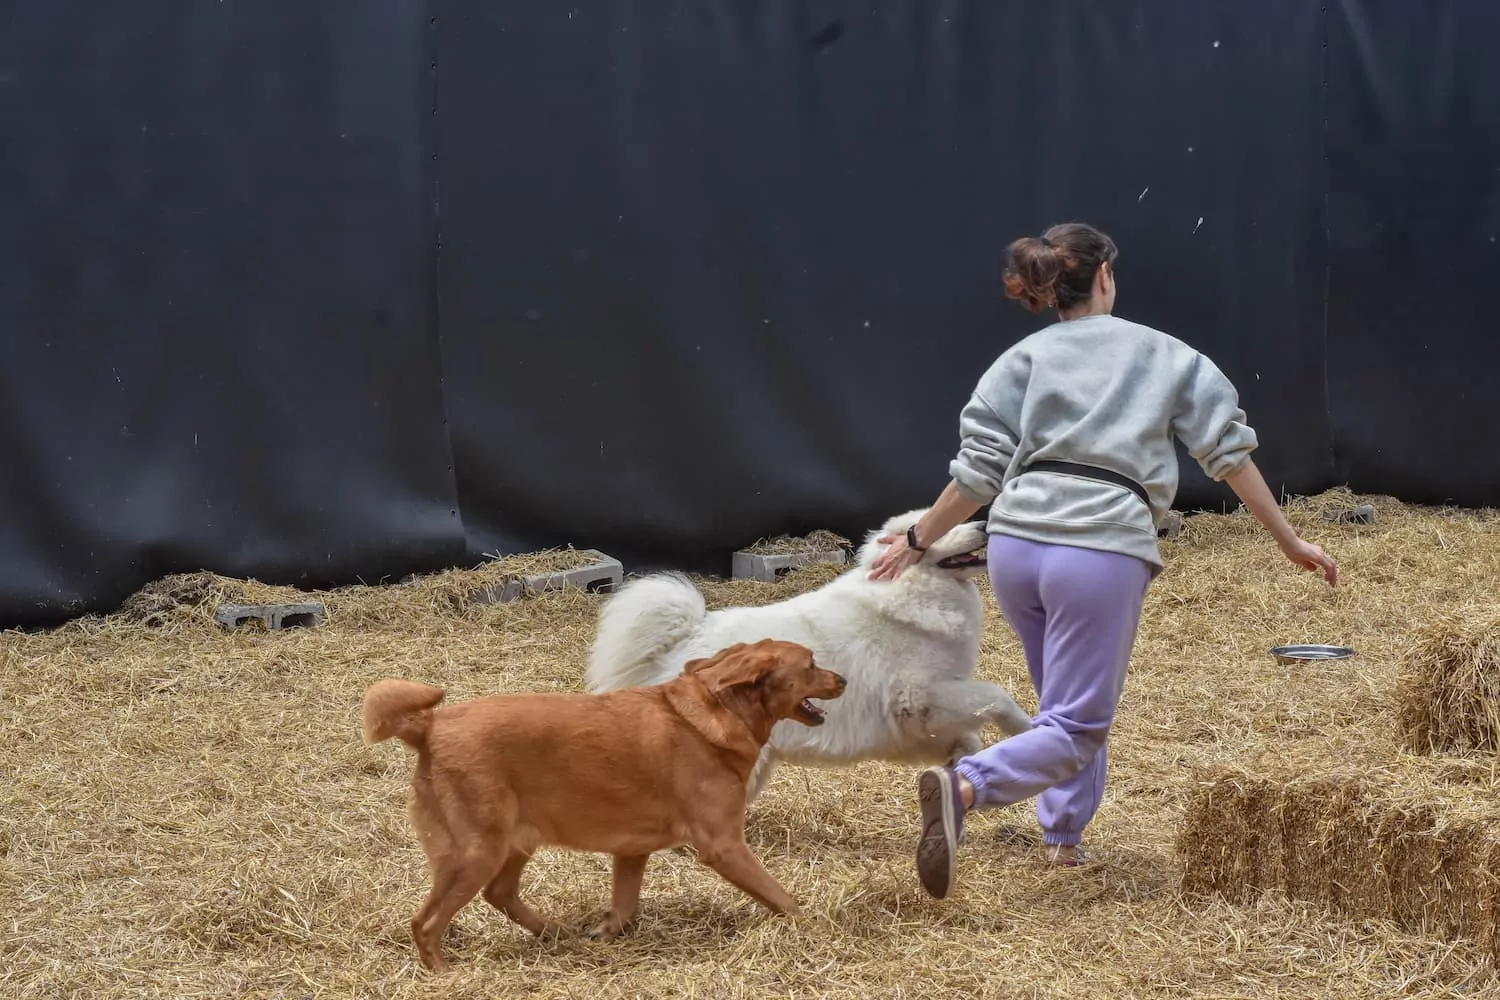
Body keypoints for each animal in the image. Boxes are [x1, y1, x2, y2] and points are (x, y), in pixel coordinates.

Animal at [357, 638, 840, 971]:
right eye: (812, 664)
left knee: (500, 894)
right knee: (426, 922)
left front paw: (605, 932)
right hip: (476, 853)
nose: (844, 680)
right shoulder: (724, 846)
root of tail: (428, 726)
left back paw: (553, 932)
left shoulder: (631, 851)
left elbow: (624, 906)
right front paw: (812, 924)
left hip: (514, 843)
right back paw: (444, 971)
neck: (716, 713)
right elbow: (781, 896)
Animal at [582, 512, 1032, 803]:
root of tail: (684, 639)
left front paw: (964, 764)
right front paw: (1025, 727)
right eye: (942, 527)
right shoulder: (923, 694)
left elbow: (967, 737)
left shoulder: (919, 722)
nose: (983, 525)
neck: (908, 591)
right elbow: (996, 697)